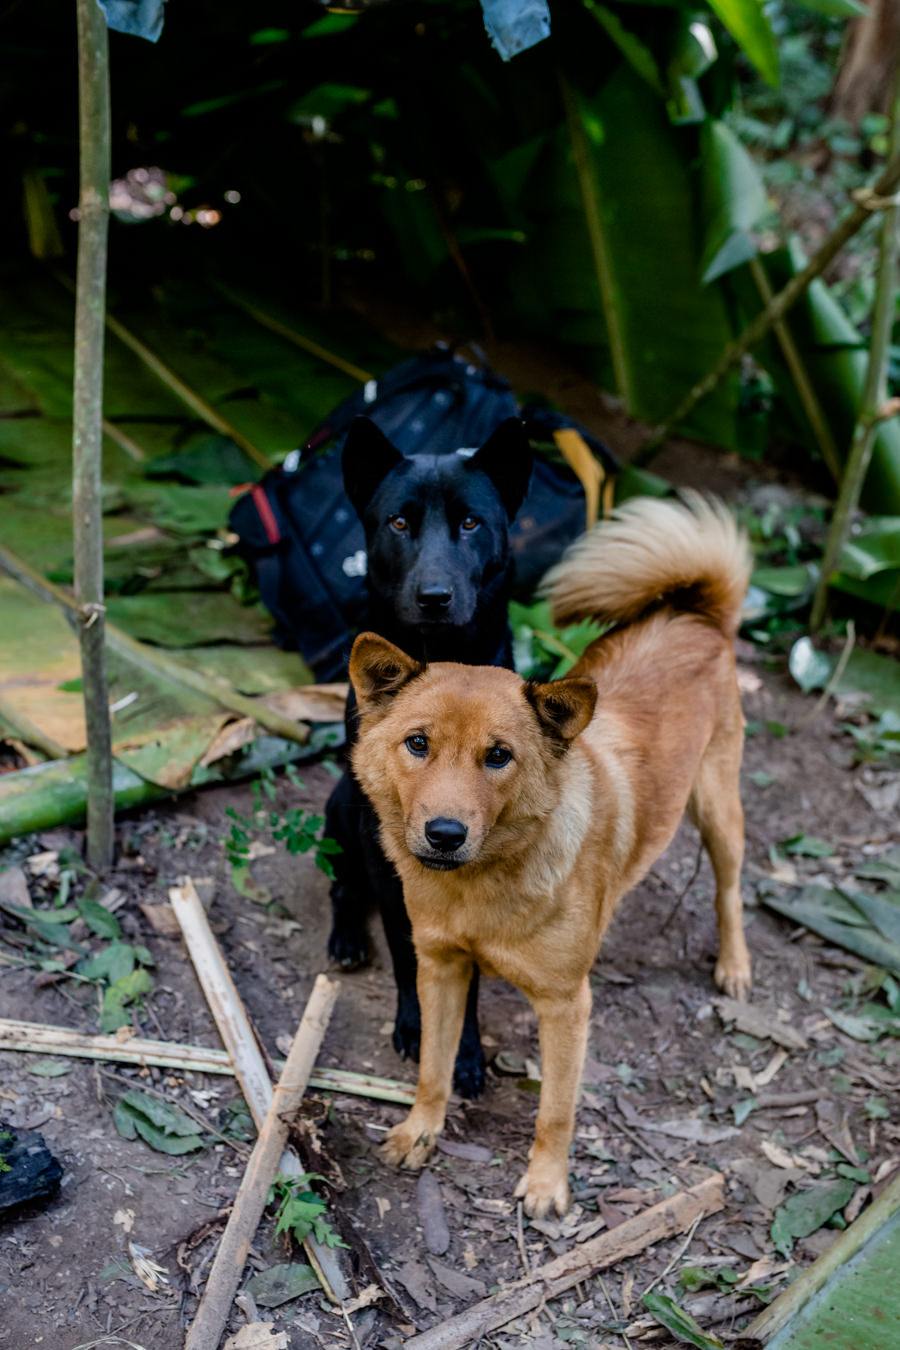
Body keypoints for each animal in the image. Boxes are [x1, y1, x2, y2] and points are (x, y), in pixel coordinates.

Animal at [325, 413, 531, 1096]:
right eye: (398, 522)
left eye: (471, 523)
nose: (436, 596)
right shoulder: (385, 848)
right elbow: (407, 950)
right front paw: (420, 1028)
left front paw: (462, 1050)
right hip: (341, 806)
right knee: (341, 883)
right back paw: (345, 937)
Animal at [350, 491, 755, 1220]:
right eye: (417, 743)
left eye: (499, 756)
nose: (445, 833)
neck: (480, 888)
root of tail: (693, 613)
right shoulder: (440, 970)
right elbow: (432, 1069)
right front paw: (420, 1132)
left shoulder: (567, 1007)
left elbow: (556, 1112)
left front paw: (546, 1185)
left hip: (718, 812)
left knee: (729, 888)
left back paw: (734, 967)